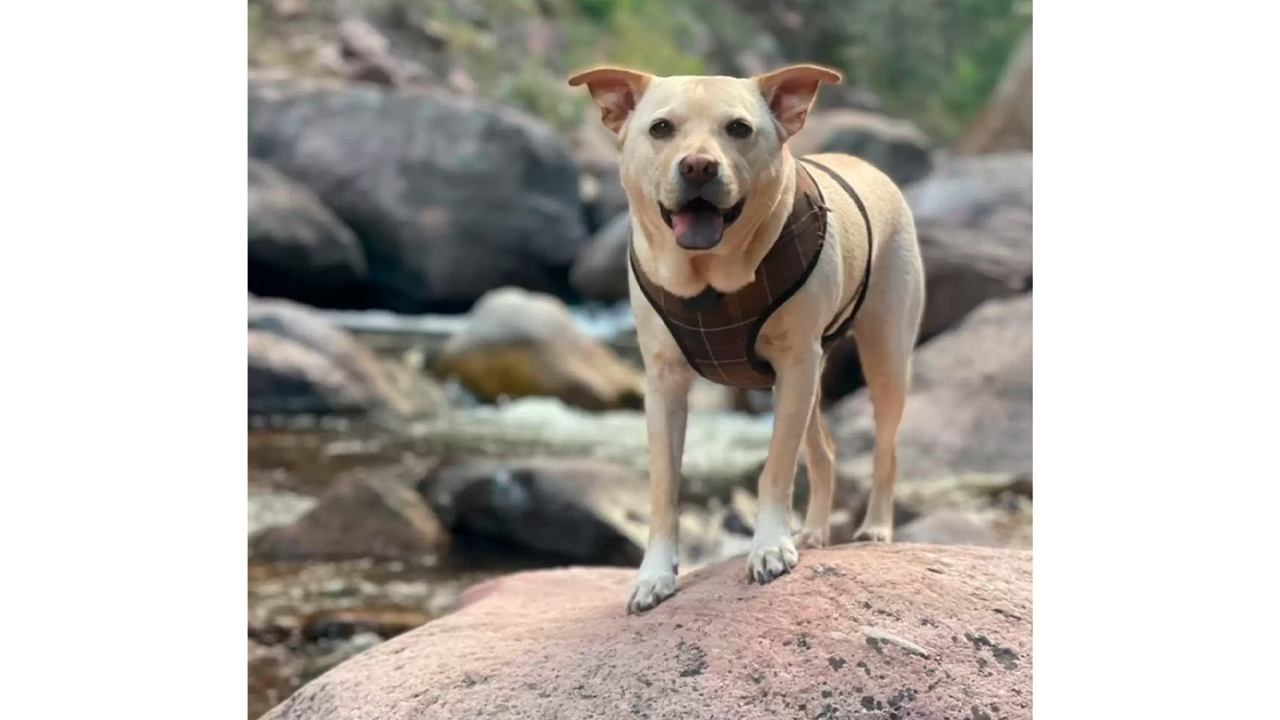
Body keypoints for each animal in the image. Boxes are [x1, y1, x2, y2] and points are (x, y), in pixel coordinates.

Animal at [568, 64, 921, 609]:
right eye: (661, 128)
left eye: (738, 128)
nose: (698, 167)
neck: (709, 281)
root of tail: (868, 166)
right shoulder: (664, 380)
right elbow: (664, 483)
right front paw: (654, 575)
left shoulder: (794, 365)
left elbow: (775, 467)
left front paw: (769, 547)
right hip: (811, 379)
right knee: (824, 452)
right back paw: (814, 532)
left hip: (883, 352)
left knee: (887, 444)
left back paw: (876, 527)